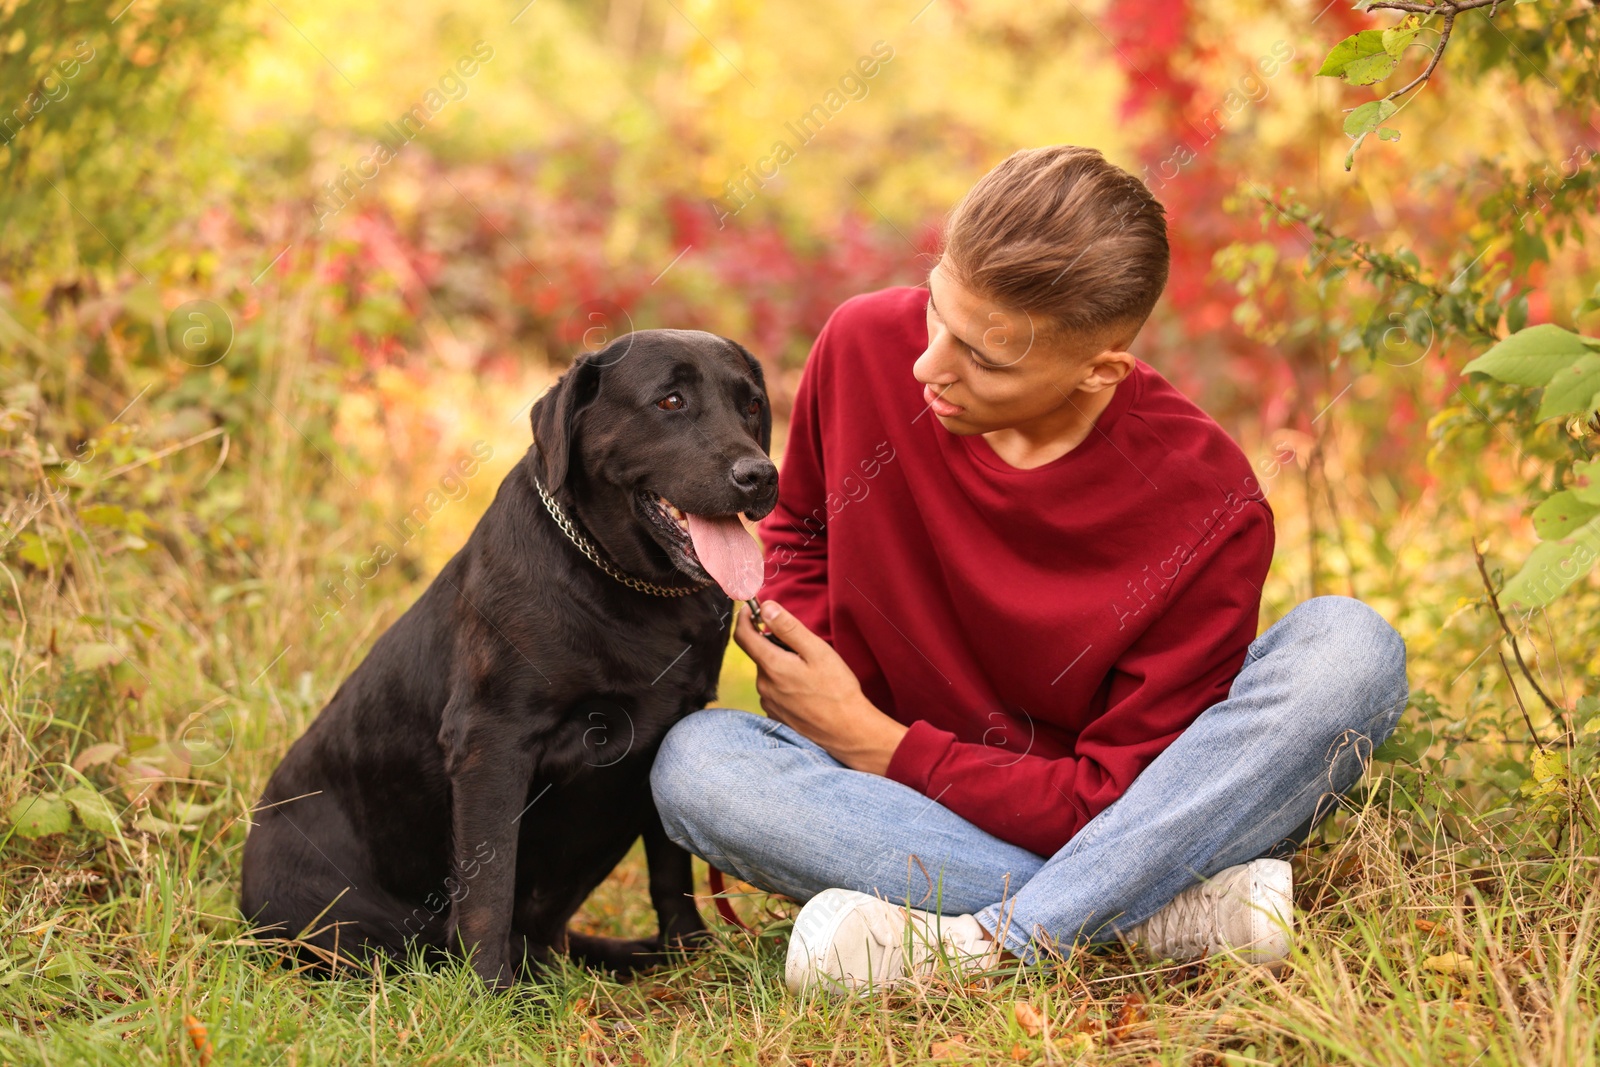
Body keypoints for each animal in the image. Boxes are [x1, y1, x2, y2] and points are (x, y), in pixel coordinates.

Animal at [238, 329, 780, 991]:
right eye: (670, 401)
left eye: (751, 405)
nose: (760, 475)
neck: (630, 591)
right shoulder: (492, 741)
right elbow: (488, 886)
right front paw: (486, 993)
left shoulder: (675, 726)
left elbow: (671, 870)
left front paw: (691, 955)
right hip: (341, 923)